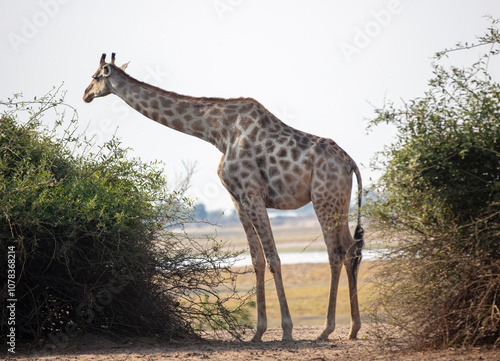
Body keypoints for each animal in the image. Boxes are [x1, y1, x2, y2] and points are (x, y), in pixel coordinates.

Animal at [82, 52, 364, 340]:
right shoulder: (237, 199)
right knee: (351, 249)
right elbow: (257, 260)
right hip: (339, 201)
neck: (217, 133)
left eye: (95, 76)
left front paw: (286, 330)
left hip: (323, 199)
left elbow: (273, 258)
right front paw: (258, 332)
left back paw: (327, 329)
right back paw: (353, 328)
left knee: (334, 252)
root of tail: (351, 163)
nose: (85, 95)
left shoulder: (252, 193)